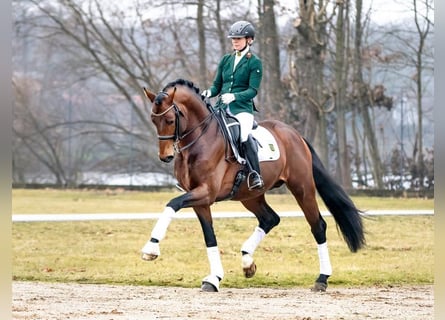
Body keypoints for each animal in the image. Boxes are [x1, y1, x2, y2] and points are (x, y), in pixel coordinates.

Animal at [141, 78, 364, 292]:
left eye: (170, 120)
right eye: (153, 120)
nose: (165, 156)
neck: (201, 139)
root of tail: (295, 135)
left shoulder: (206, 192)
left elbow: (172, 204)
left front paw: (151, 248)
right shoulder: (200, 199)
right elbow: (209, 237)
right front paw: (214, 279)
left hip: (302, 188)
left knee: (317, 226)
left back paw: (322, 279)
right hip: (250, 195)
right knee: (270, 219)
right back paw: (247, 262)